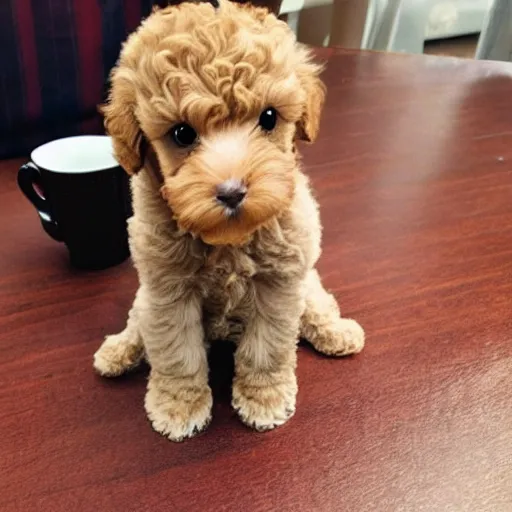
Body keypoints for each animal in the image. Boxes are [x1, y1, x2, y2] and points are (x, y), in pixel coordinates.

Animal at [93, 0, 364, 440]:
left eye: (269, 118)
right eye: (182, 134)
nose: (233, 192)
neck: (228, 240)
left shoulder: (280, 282)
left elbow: (268, 347)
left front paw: (264, 398)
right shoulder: (167, 290)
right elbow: (176, 351)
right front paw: (179, 406)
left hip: (307, 279)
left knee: (318, 304)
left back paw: (337, 332)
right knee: (138, 322)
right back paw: (119, 349)